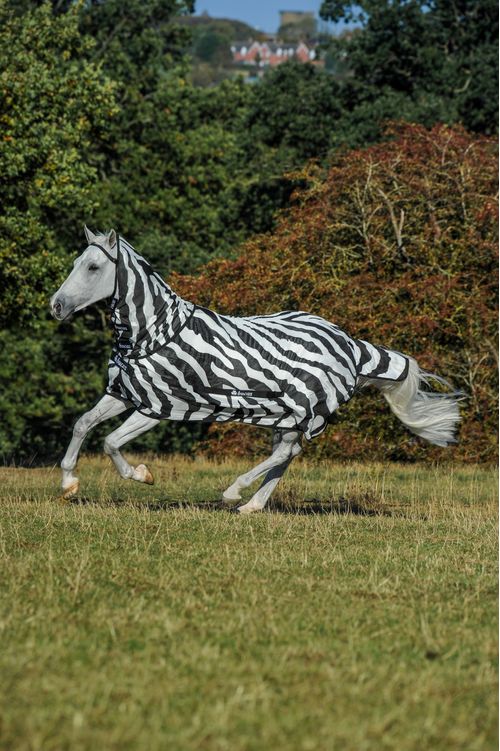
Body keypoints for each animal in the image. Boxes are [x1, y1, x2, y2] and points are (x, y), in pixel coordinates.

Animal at [50, 228, 461, 513]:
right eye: (74, 264)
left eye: (93, 267)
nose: (56, 306)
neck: (151, 333)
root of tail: (351, 344)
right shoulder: (123, 393)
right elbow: (83, 425)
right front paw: (69, 484)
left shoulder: (159, 405)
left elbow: (110, 442)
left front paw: (142, 475)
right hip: (287, 414)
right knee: (288, 453)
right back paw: (252, 505)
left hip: (303, 409)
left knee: (285, 453)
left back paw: (234, 493)